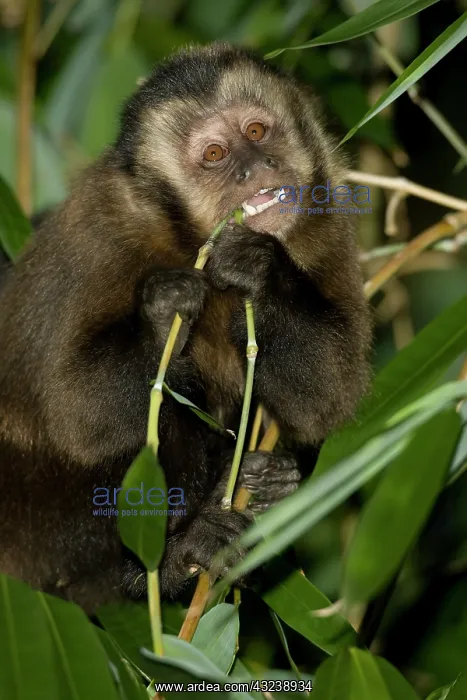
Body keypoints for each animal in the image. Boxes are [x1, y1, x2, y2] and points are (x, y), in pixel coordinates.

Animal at [0, 42, 371, 613]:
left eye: (257, 131)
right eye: (215, 154)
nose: (256, 166)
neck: (189, 236)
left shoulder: (327, 224)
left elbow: (328, 394)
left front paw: (259, 270)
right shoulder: (102, 234)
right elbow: (76, 412)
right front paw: (165, 314)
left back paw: (262, 489)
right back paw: (172, 560)